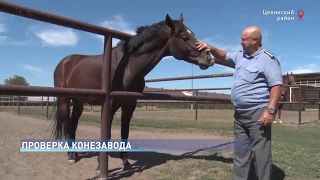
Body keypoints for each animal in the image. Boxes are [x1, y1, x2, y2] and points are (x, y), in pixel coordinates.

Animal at [52, 14, 215, 173]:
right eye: (184, 36)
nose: (209, 58)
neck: (127, 67)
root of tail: (63, 62)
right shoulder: (110, 104)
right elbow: (107, 133)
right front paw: (100, 165)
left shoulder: (130, 103)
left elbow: (125, 132)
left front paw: (126, 162)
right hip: (64, 100)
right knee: (67, 124)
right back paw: (71, 156)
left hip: (78, 101)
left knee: (73, 124)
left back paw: (76, 153)